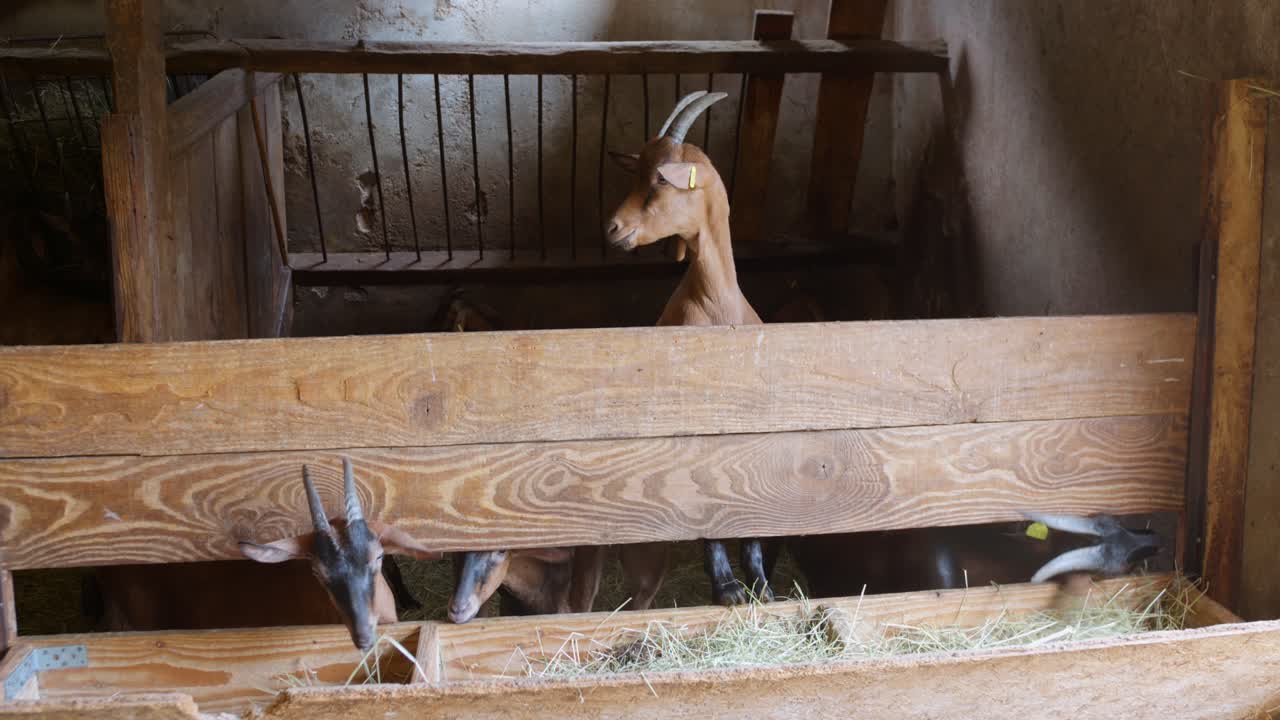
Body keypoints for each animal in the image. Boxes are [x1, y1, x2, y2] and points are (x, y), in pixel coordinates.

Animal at [604, 91, 774, 606]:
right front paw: (727, 586)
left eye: (661, 177)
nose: (613, 228)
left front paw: (761, 583)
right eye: (636, 172)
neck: (717, 306)